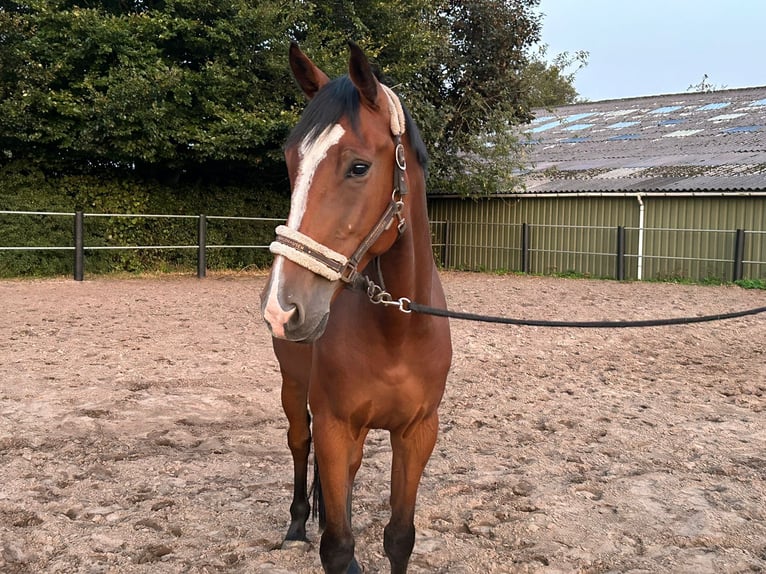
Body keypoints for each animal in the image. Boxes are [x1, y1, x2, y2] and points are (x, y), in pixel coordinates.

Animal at [260, 42, 452, 572]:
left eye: (359, 167)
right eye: (291, 163)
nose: (283, 309)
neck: (397, 333)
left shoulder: (416, 433)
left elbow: (400, 536)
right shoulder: (333, 424)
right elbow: (338, 547)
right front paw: (325, 535)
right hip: (294, 390)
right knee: (298, 444)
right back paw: (298, 524)